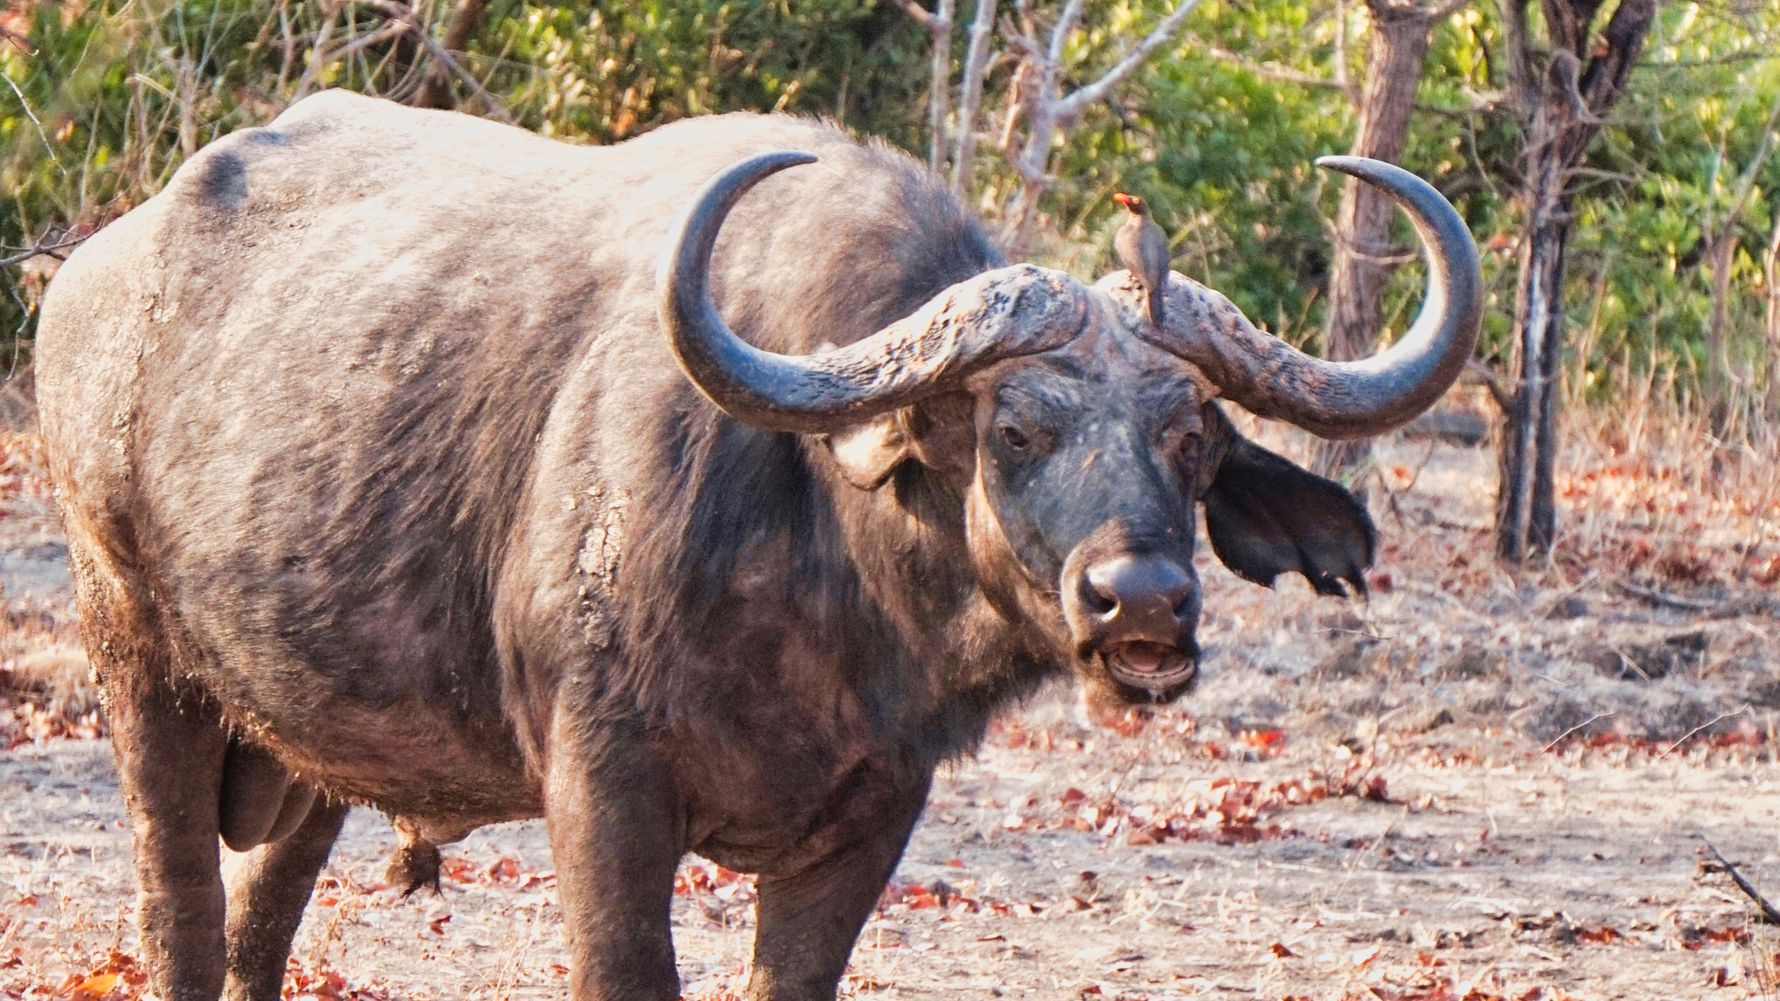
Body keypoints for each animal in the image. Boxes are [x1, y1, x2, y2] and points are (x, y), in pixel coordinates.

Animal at [35, 91, 1480, 1001]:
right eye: (1014, 426)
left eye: (1194, 436)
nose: (1143, 603)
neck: (821, 573)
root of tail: (89, 277)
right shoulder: (602, 791)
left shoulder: (872, 819)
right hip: (137, 661)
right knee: (177, 913)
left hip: (308, 737)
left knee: (259, 926)